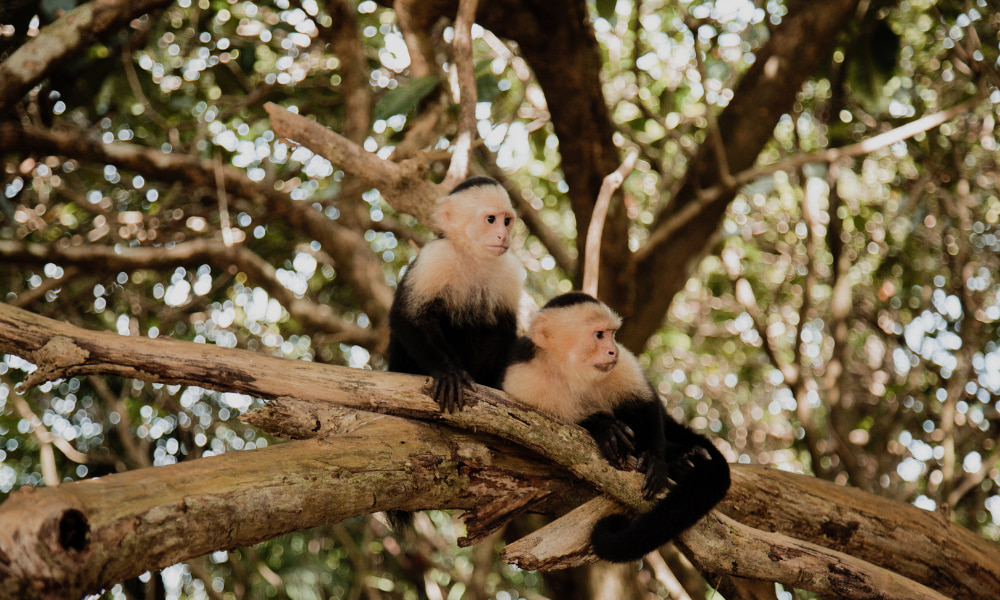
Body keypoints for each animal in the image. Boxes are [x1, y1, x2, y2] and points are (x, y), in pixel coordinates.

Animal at [504, 292, 732, 564]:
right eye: (599, 335)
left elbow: (645, 403)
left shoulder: (623, 365)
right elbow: (534, 437)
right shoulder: (524, 381)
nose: (612, 351)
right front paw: (605, 428)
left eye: (612, 334)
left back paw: (680, 457)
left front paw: (655, 459)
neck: (573, 372)